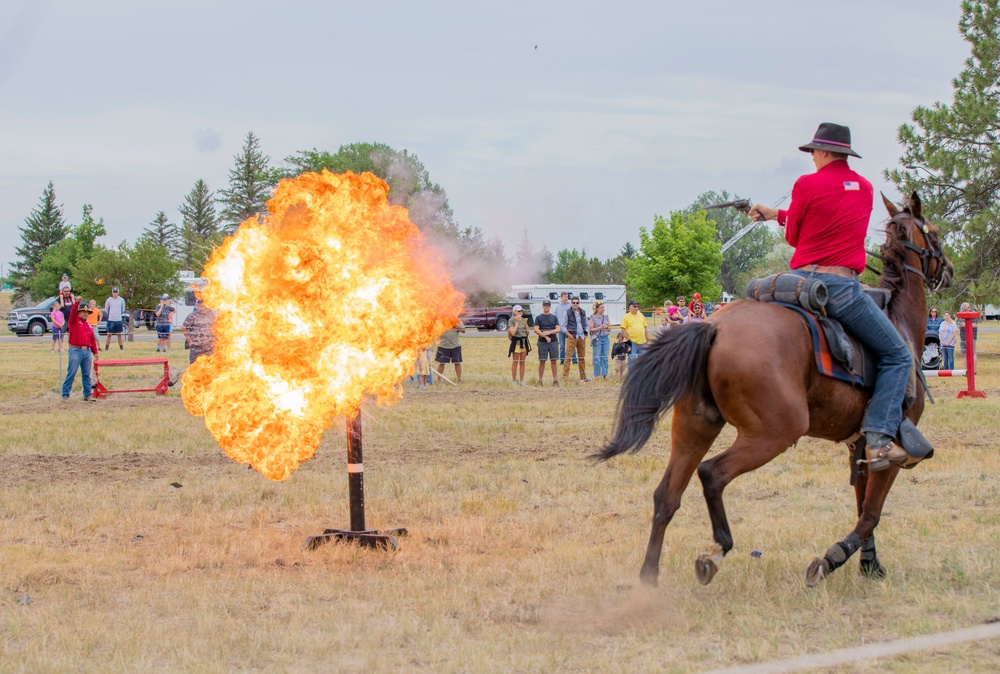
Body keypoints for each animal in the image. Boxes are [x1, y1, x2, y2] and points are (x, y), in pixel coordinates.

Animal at [596, 192, 948, 584]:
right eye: (933, 232)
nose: (947, 269)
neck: (898, 321)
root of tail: (714, 326)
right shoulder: (892, 450)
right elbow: (871, 513)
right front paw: (831, 559)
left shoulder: (859, 445)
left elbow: (862, 506)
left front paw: (869, 565)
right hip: (774, 432)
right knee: (712, 474)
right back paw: (716, 551)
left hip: (694, 425)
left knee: (666, 495)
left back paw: (649, 578)